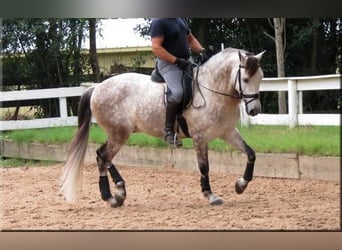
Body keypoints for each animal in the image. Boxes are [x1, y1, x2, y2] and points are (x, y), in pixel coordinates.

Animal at [60, 47, 264, 207]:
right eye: (245, 79)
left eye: (260, 78)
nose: (254, 110)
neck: (212, 89)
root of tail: (96, 88)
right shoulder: (200, 137)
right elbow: (204, 167)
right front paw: (210, 195)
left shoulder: (227, 132)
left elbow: (251, 153)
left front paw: (241, 185)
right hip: (119, 133)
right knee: (104, 156)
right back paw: (116, 193)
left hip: (116, 133)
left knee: (101, 156)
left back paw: (113, 196)